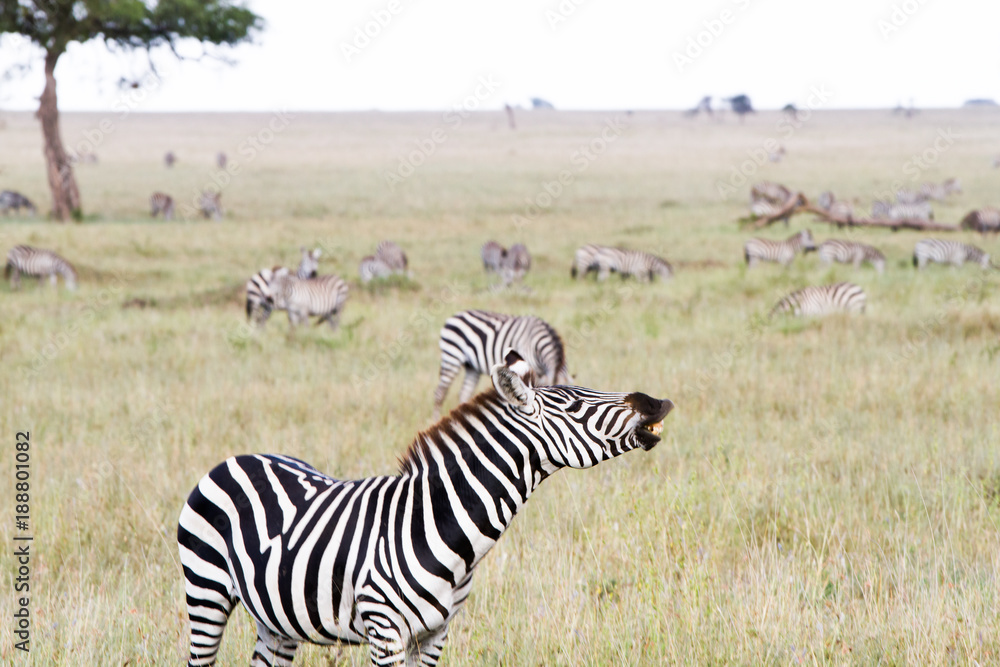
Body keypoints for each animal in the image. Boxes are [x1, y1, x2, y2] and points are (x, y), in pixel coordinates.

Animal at [178, 351, 673, 667]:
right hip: (207, 592)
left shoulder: (436, 634)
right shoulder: (385, 632)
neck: (440, 525)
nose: (658, 401)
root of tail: (237, 457)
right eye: (575, 405)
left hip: (276, 619)